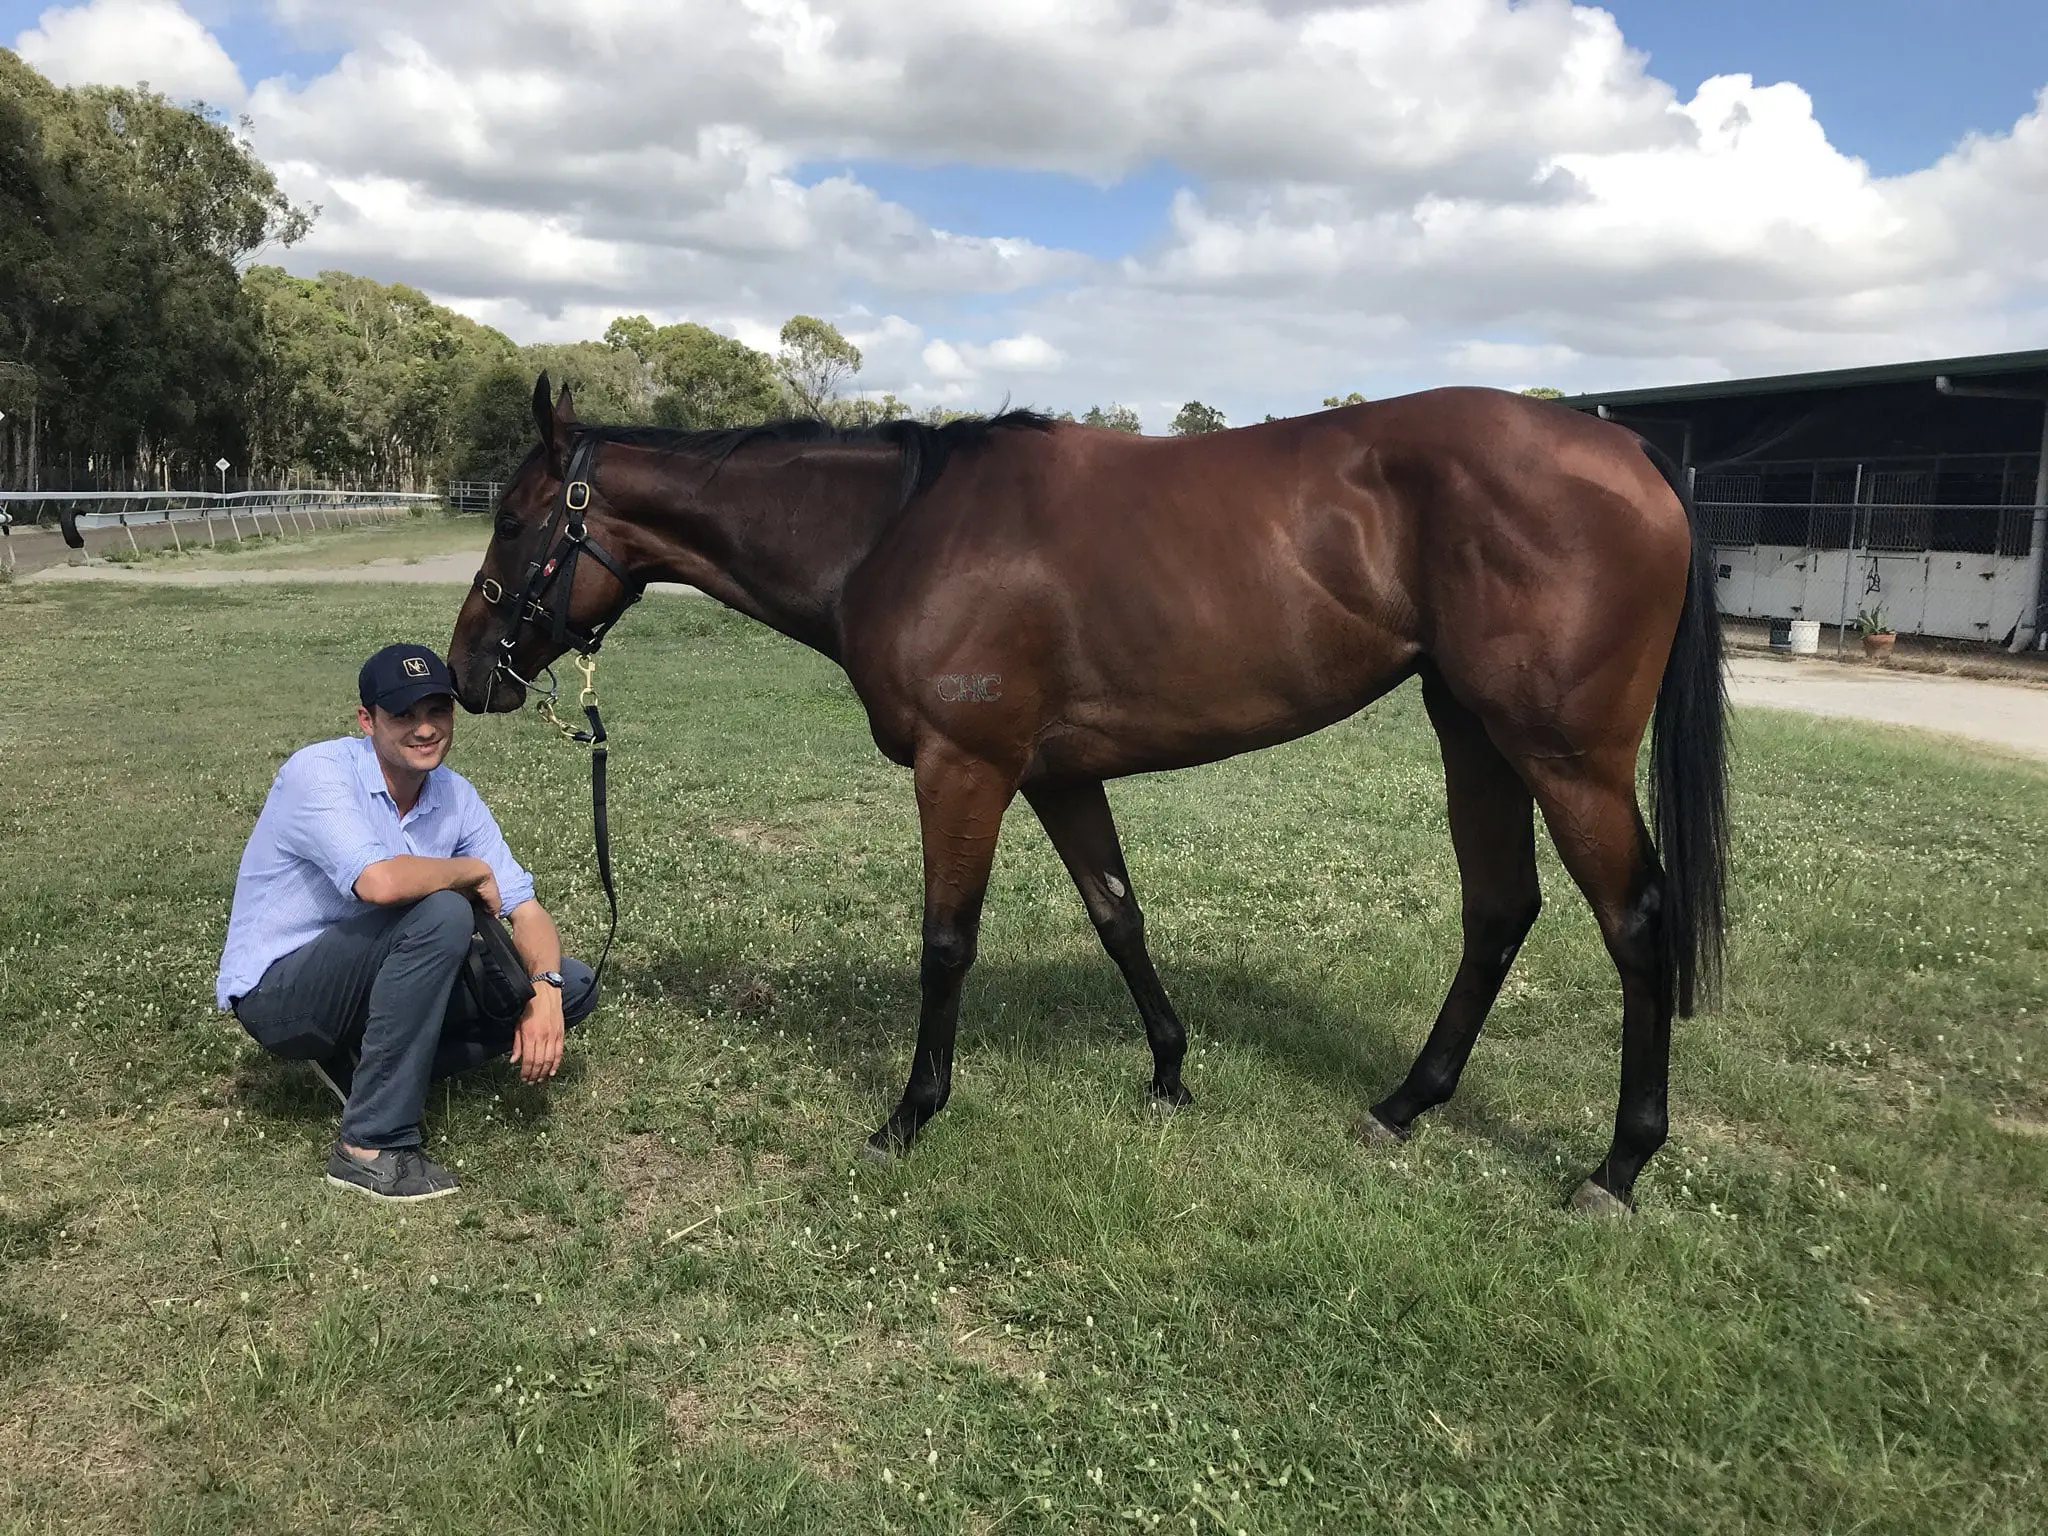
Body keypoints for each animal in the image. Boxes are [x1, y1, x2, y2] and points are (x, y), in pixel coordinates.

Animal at [452, 376, 1728, 1212]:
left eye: (512, 523)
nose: (468, 672)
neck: (897, 530)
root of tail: (1624, 451)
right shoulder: (1060, 776)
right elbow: (1118, 915)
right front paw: (1167, 1072)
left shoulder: (964, 767)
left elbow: (946, 944)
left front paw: (908, 1115)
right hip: (1471, 732)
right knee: (1498, 909)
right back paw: (1405, 1104)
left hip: (1562, 756)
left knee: (1631, 924)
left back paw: (1617, 1165)